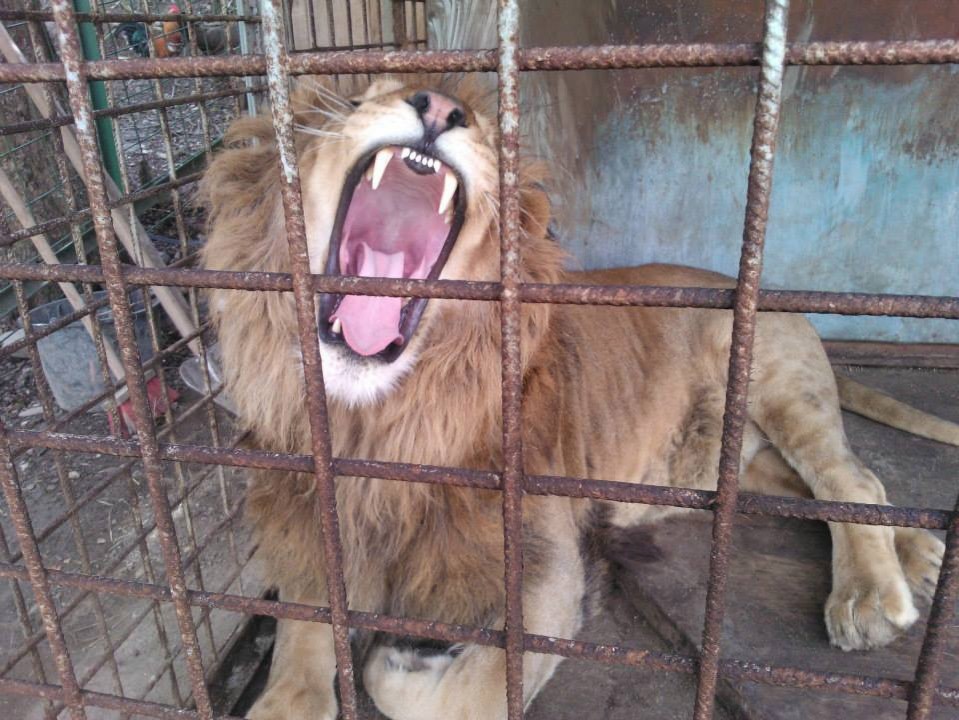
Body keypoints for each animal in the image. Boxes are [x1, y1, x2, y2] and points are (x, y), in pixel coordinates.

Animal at [199, 79, 956, 720]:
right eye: (355, 99)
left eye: (483, 129)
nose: (439, 105)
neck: (382, 420)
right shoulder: (313, 514)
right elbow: (303, 628)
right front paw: (287, 697)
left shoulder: (544, 571)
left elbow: (459, 696)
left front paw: (407, 655)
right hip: (727, 463)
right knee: (824, 487)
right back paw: (920, 551)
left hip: (774, 378)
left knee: (849, 476)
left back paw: (870, 595)